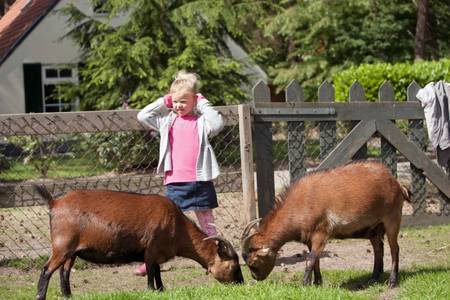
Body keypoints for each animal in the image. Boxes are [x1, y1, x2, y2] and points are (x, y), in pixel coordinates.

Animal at [35, 185, 244, 300]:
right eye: (233, 266)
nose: (241, 285)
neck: (176, 225)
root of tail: (55, 203)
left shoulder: (157, 253)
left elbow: (158, 273)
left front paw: (161, 291)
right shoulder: (150, 250)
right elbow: (151, 273)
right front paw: (152, 291)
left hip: (71, 251)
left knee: (64, 272)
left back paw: (68, 296)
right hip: (62, 246)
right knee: (47, 270)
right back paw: (40, 296)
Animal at [241, 162, 410, 288]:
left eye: (253, 263)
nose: (256, 278)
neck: (300, 203)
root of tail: (397, 184)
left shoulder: (321, 233)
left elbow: (310, 259)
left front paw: (304, 284)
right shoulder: (310, 239)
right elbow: (315, 260)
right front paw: (317, 283)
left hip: (392, 219)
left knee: (394, 249)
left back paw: (392, 282)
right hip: (373, 228)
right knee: (378, 248)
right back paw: (373, 278)